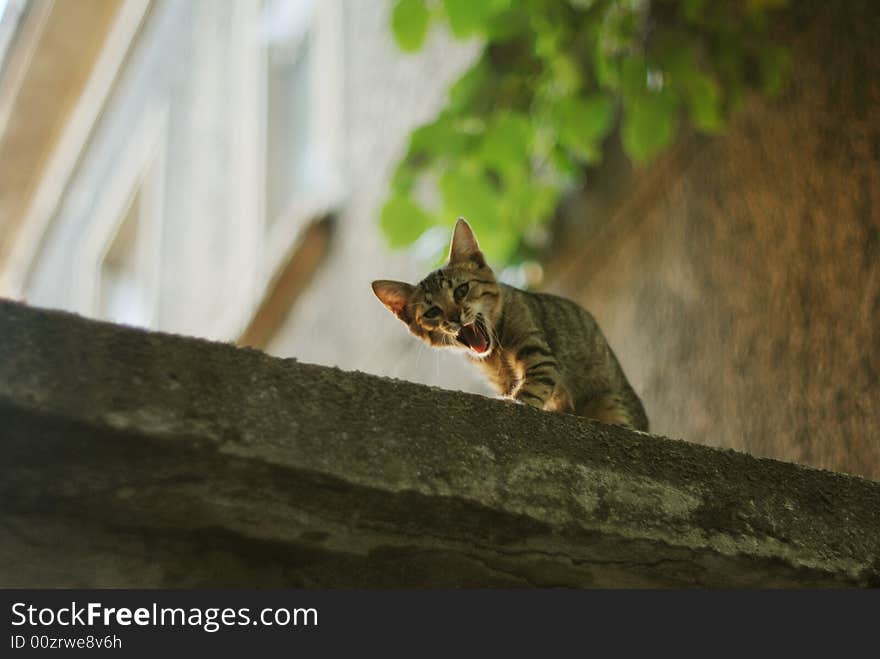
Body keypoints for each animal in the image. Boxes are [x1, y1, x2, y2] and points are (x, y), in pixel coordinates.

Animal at [372, 218, 648, 434]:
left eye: (462, 290)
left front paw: (515, 402)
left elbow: (531, 387)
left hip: (610, 401)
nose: (455, 317)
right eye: (432, 312)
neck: (496, 356)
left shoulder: (538, 353)